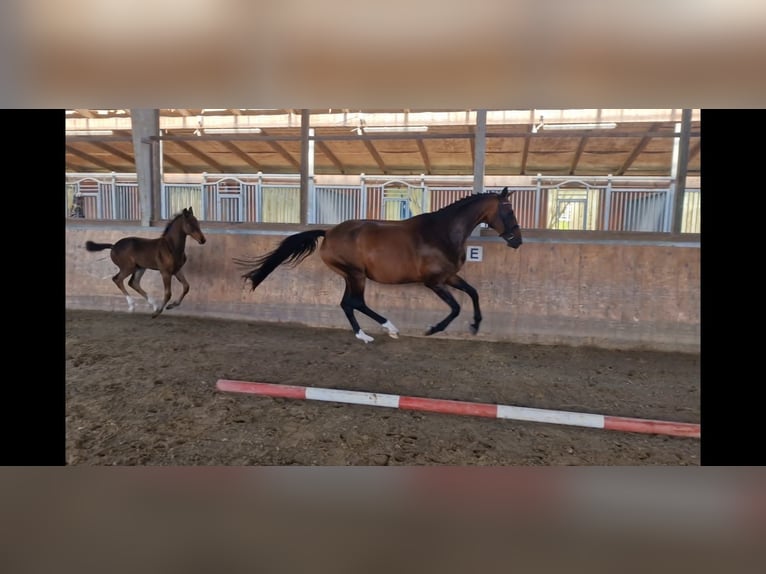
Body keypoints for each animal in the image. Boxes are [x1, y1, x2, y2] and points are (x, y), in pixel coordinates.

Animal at [234, 189, 520, 344]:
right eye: (509, 211)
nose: (517, 240)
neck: (443, 232)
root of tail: (328, 233)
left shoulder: (449, 277)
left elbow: (473, 293)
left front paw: (476, 326)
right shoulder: (434, 282)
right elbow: (456, 307)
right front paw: (432, 329)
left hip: (350, 276)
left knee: (346, 304)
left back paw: (363, 335)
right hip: (356, 274)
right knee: (356, 302)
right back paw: (389, 328)